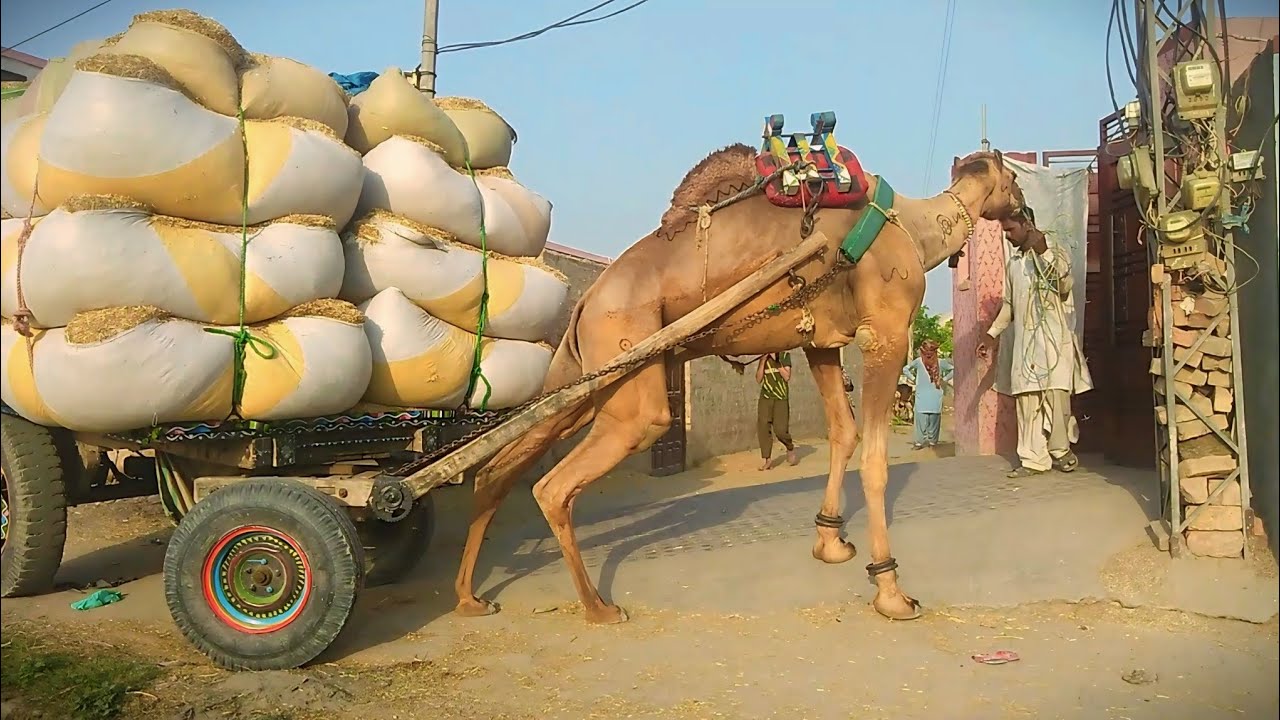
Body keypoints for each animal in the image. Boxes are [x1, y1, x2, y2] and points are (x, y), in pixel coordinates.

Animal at [452, 146, 1028, 624]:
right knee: (554, 485)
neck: (912, 226)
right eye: (1018, 181)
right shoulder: (884, 334)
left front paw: (831, 542)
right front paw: (891, 592)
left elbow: (843, 432)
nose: (1030, 226)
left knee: (498, 466)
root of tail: (587, 299)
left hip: (584, 377)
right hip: (627, 365)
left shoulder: (821, 342)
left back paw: (470, 597)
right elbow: (875, 458)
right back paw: (598, 608)